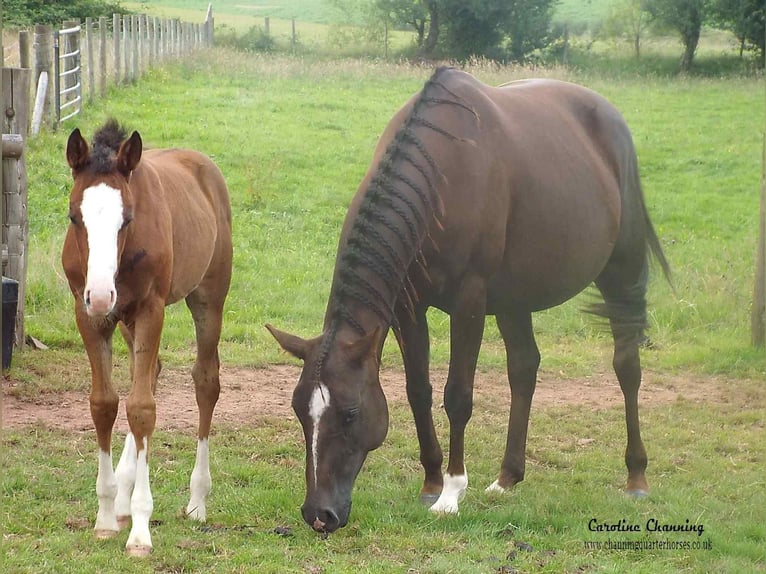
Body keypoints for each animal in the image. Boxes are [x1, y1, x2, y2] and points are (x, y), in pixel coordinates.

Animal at [61, 121, 231, 560]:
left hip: (208, 296)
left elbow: (141, 409)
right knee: (150, 371)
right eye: (74, 216)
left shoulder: (151, 309)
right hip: (124, 320)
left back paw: (197, 501)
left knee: (206, 382)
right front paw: (107, 515)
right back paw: (123, 496)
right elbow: (105, 404)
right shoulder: (89, 315)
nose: (100, 294)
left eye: (128, 218)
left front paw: (140, 530)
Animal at [270, 67, 672, 536]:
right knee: (524, 368)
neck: (439, 178)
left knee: (627, 368)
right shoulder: (409, 308)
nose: (319, 514)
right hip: (516, 297)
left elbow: (457, 395)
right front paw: (430, 481)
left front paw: (450, 493)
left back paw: (636, 476)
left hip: (620, 272)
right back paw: (507, 477)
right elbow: (418, 390)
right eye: (300, 411)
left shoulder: (470, 301)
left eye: (350, 413)